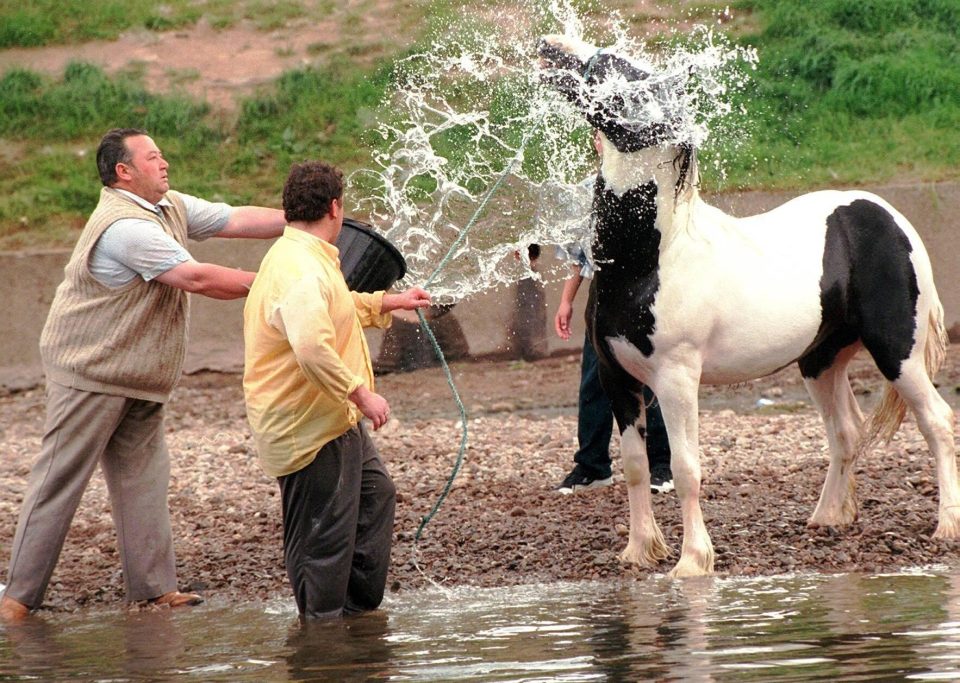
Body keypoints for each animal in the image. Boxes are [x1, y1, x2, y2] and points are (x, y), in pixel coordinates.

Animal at [536, 33, 956, 576]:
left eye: (617, 69)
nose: (550, 45)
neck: (653, 259)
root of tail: (889, 216)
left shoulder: (676, 379)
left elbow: (685, 469)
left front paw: (692, 562)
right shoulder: (618, 379)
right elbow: (633, 467)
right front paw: (639, 551)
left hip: (896, 352)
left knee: (937, 421)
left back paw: (946, 526)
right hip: (820, 361)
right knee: (844, 432)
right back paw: (827, 518)